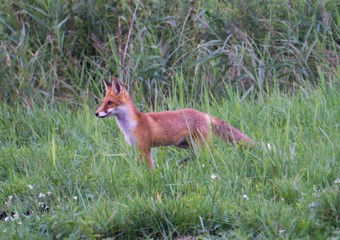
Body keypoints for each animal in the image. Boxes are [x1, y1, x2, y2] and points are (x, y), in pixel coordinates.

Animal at [95, 78, 255, 168]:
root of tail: (204, 114)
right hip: (187, 145)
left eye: (110, 103)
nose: (96, 113)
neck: (131, 125)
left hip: (200, 146)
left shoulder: (144, 148)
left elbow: (148, 169)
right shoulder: (138, 148)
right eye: (103, 102)